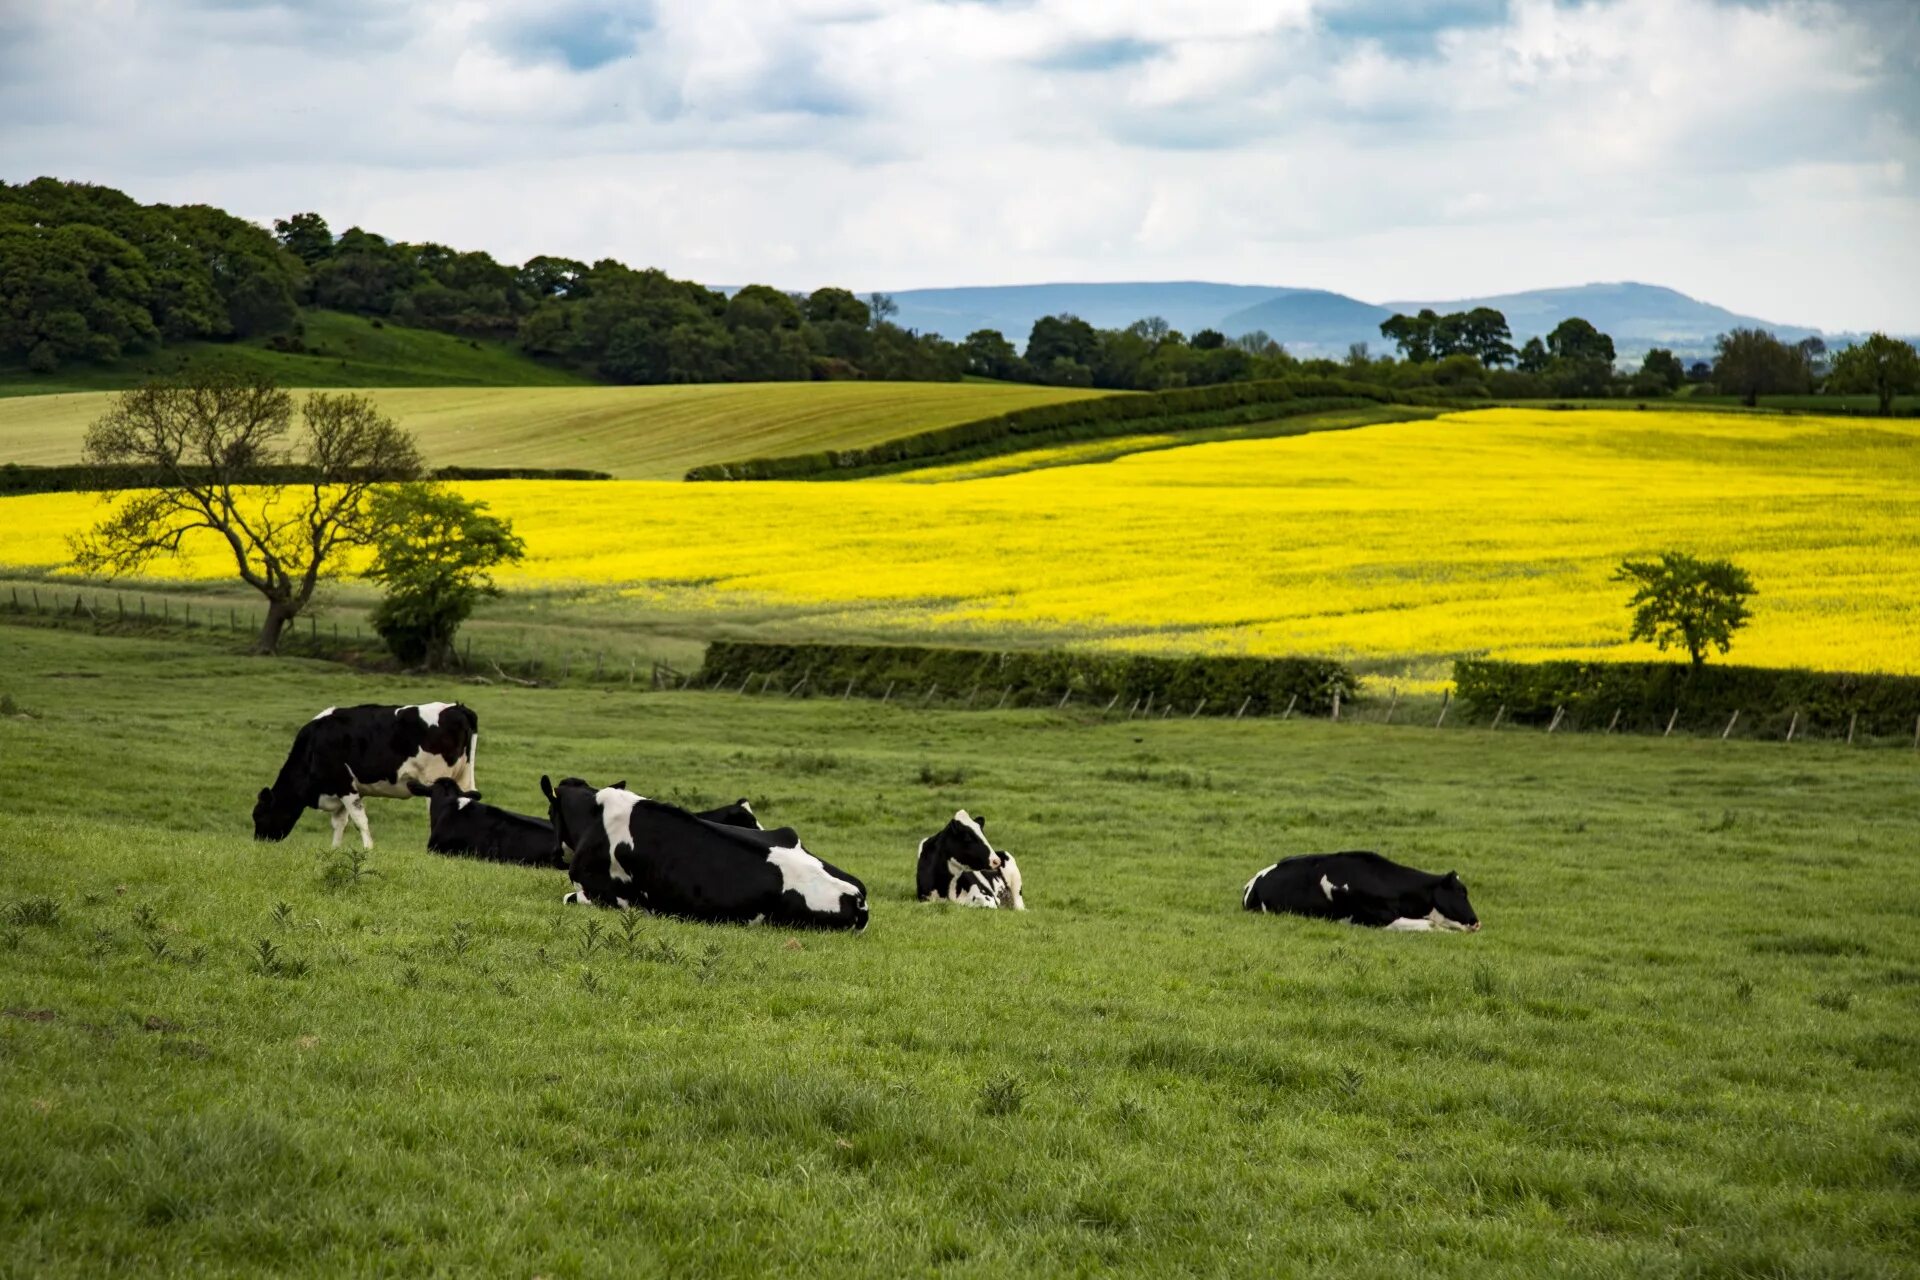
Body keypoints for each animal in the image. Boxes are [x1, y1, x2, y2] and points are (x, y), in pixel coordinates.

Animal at [251, 702, 476, 852]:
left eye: (258, 815)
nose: (259, 843)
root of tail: (456, 707)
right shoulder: (341, 790)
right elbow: (340, 822)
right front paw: (334, 849)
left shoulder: (344, 785)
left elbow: (359, 820)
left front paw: (368, 849)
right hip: (464, 777)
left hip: (434, 780)